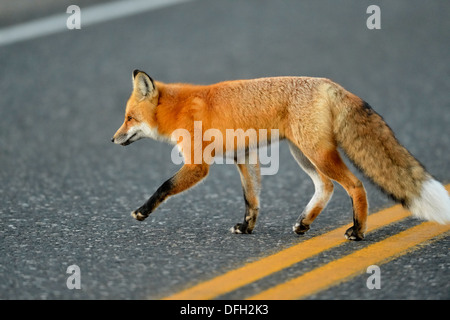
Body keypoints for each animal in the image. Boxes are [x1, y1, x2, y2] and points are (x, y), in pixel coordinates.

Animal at [111, 70, 450, 240]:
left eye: (129, 118)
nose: (112, 139)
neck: (179, 109)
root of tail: (330, 84)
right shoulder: (244, 156)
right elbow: (251, 199)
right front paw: (247, 228)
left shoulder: (198, 165)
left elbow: (164, 186)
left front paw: (142, 211)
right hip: (302, 153)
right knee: (326, 186)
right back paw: (304, 224)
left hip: (316, 153)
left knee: (354, 185)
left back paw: (358, 230)